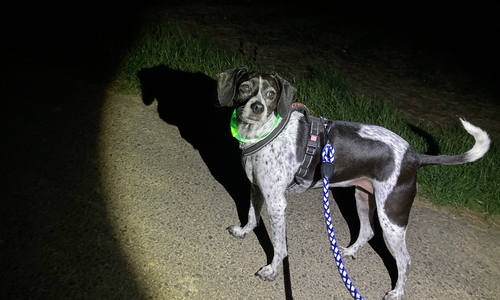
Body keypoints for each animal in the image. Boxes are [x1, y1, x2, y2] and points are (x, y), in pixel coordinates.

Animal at [215, 68, 488, 300]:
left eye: (271, 94)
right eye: (244, 88)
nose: (257, 107)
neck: (265, 133)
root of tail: (414, 156)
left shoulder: (277, 204)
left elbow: (280, 247)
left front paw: (272, 270)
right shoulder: (256, 188)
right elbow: (252, 216)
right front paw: (243, 231)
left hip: (392, 219)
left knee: (405, 260)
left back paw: (397, 293)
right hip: (363, 198)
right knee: (367, 231)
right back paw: (346, 252)